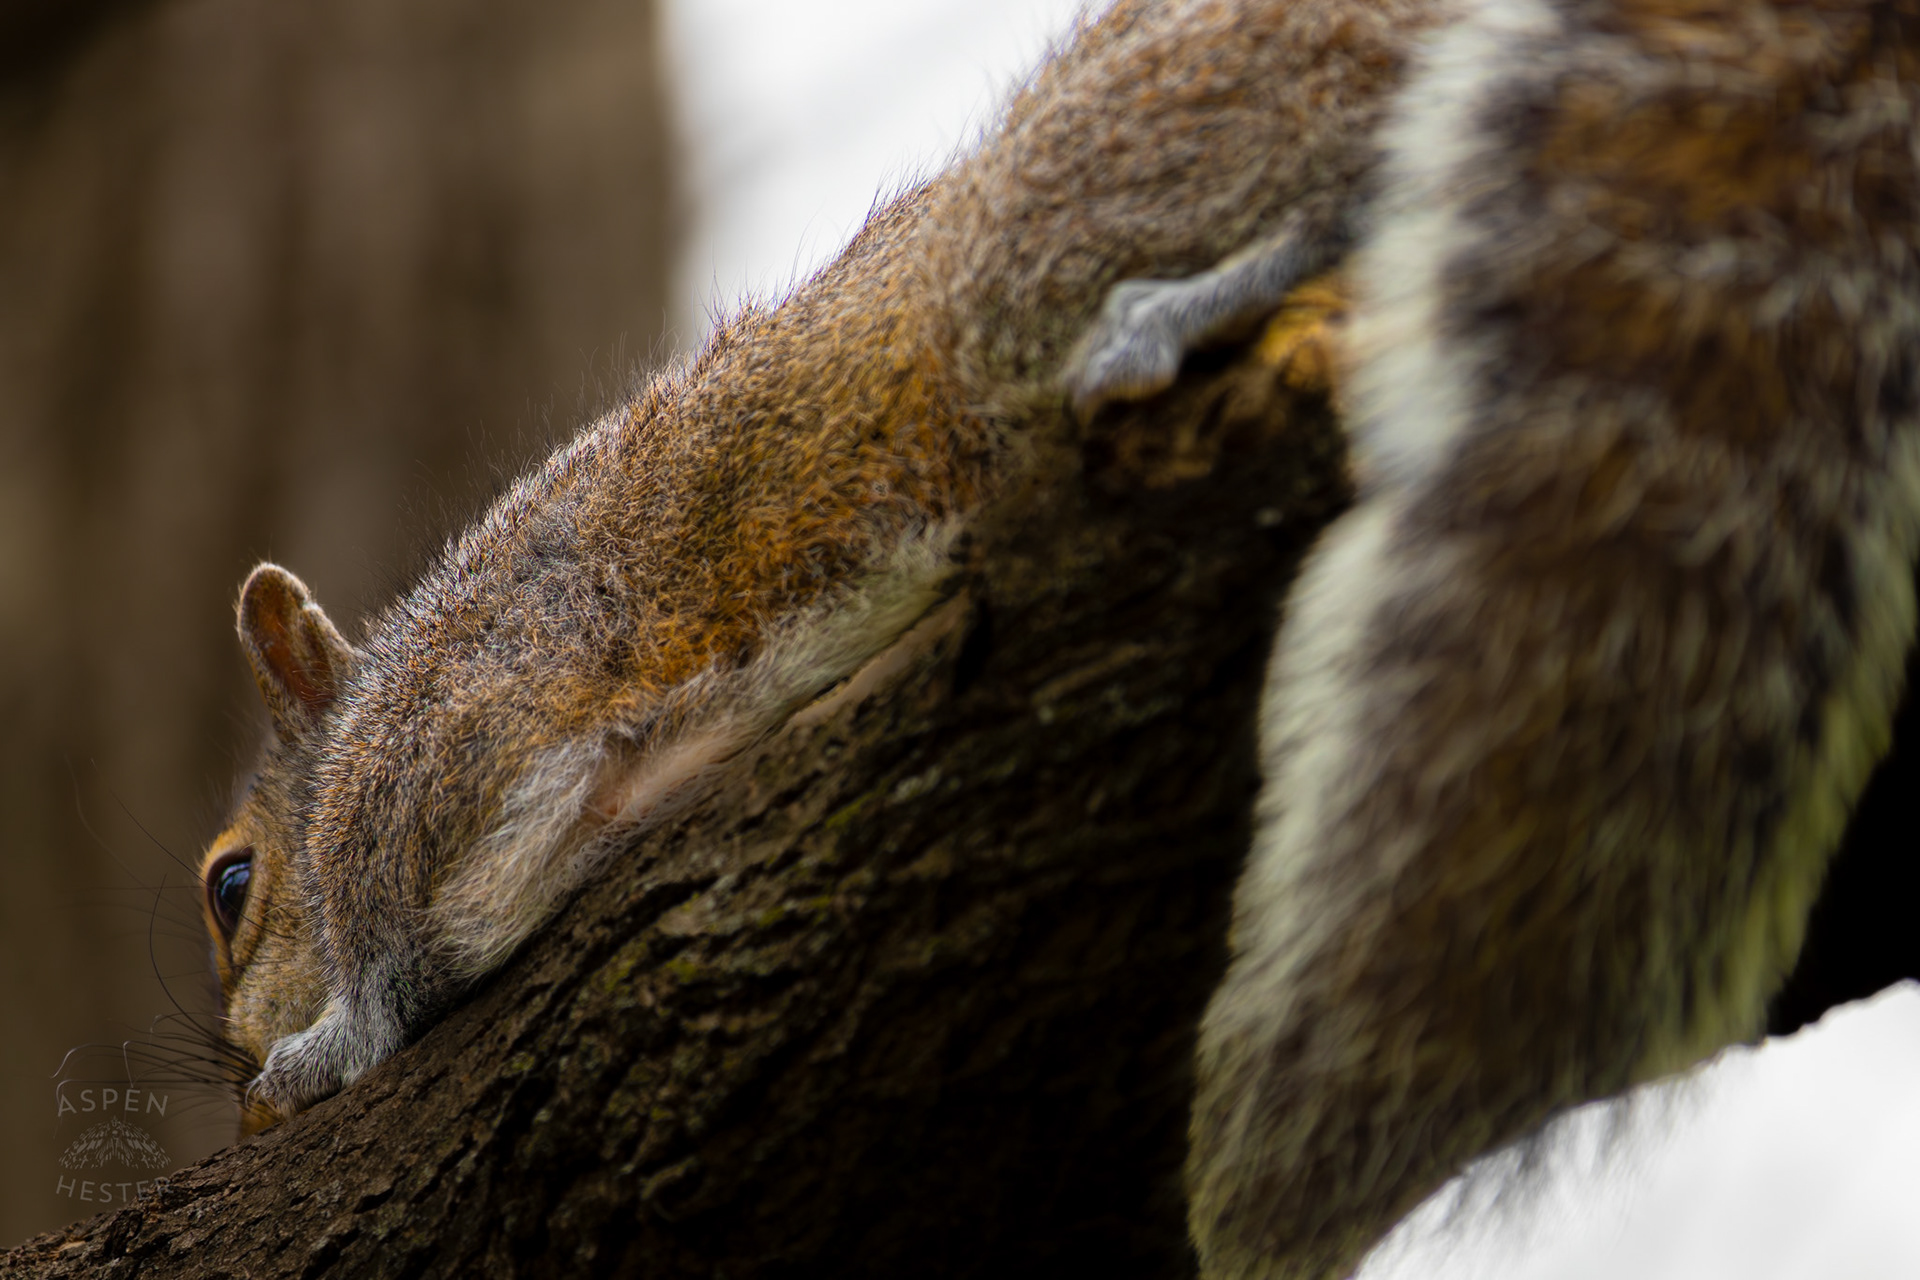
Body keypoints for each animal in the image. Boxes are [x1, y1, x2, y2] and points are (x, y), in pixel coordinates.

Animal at [195, 0, 1920, 1277]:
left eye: (230, 888)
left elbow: (406, 937)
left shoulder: (463, 710)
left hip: (1069, 219)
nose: (229, 1082)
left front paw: (329, 1043)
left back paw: (1181, 308)